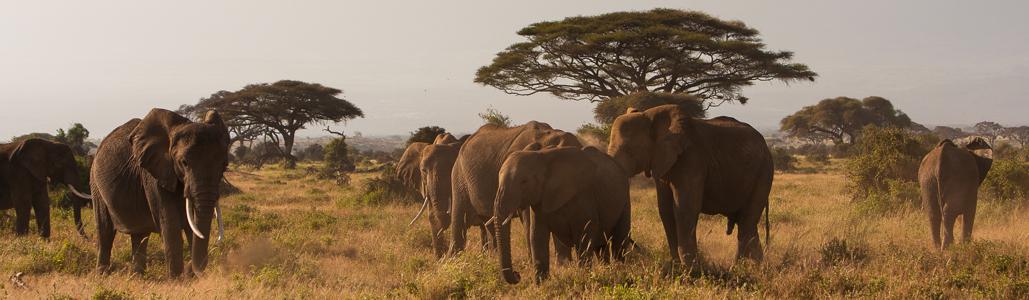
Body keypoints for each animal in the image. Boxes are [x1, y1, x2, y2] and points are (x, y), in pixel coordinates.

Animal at [91, 108, 229, 277]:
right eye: (184, 163)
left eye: (224, 165)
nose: (190, 270)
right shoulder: (154, 174)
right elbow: (170, 224)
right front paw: (176, 280)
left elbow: (191, 225)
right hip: (95, 183)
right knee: (105, 231)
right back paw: (102, 274)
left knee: (140, 235)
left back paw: (137, 276)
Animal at [491, 143, 629, 283]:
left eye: (524, 181)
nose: (517, 274)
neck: (541, 158)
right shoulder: (540, 200)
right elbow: (537, 236)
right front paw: (542, 285)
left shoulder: (584, 195)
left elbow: (584, 235)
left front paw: (584, 278)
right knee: (601, 247)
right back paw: (607, 270)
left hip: (624, 199)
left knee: (619, 242)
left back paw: (620, 269)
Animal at [605, 104, 769, 265]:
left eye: (630, 151)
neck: (650, 115)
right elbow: (665, 210)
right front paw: (677, 265)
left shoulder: (691, 159)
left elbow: (685, 208)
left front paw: (691, 268)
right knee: (746, 222)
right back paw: (752, 265)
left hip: (763, 171)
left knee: (747, 221)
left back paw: (746, 266)